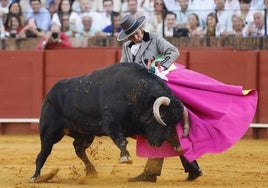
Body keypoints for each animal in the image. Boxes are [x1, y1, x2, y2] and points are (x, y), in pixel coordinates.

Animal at [30, 62, 189, 182]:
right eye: (163, 117)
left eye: (175, 121)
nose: (156, 143)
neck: (137, 93)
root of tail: (50, 92)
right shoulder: (111, 124)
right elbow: (121, 140)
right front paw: (125, 157)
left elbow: (170, 135)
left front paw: (178, 146)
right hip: (49, 132)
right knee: (44, 152)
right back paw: (35, 177)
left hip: (85, 134)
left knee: (78, 148)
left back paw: (92, 171)